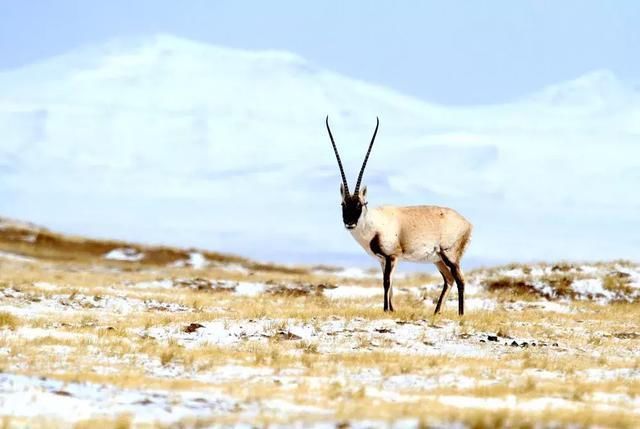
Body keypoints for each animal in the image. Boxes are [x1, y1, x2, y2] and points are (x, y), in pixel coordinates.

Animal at [328, 116, 472, 314]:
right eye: (343, 204)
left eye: (361, 204)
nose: (350, 223)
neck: (374, 223)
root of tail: (467, 223)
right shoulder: (383, 260)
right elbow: (390, 284)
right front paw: (391, 309)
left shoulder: (391, 256)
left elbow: (386, 282)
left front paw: (386, 310)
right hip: (438, 260)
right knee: (449, 280)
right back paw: (436, 313)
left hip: (450, 256)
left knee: (460, 280)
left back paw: (460, 314)